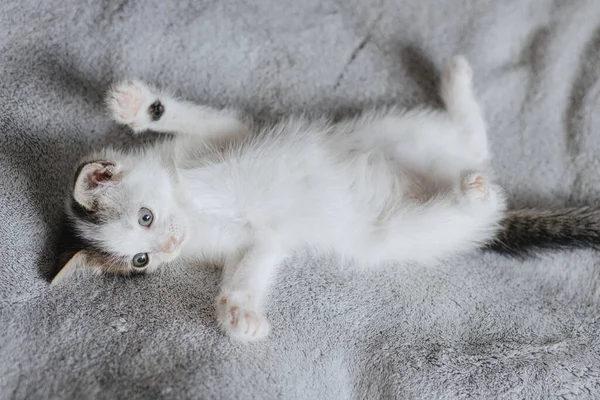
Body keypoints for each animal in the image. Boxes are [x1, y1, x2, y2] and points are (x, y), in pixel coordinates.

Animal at [51, 57, 600, 342]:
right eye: (141, 260)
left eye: (145, 217)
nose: (167, 248)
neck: (192, 207)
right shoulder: (258, 240)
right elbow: (248, 269)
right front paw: (238, 314)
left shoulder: (228, 135)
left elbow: (204, 119)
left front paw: (135, 105)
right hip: (399, 232)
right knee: (472, 182)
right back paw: (474, 190)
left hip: (392, 131)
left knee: (473, 140)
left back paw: (457, 87)